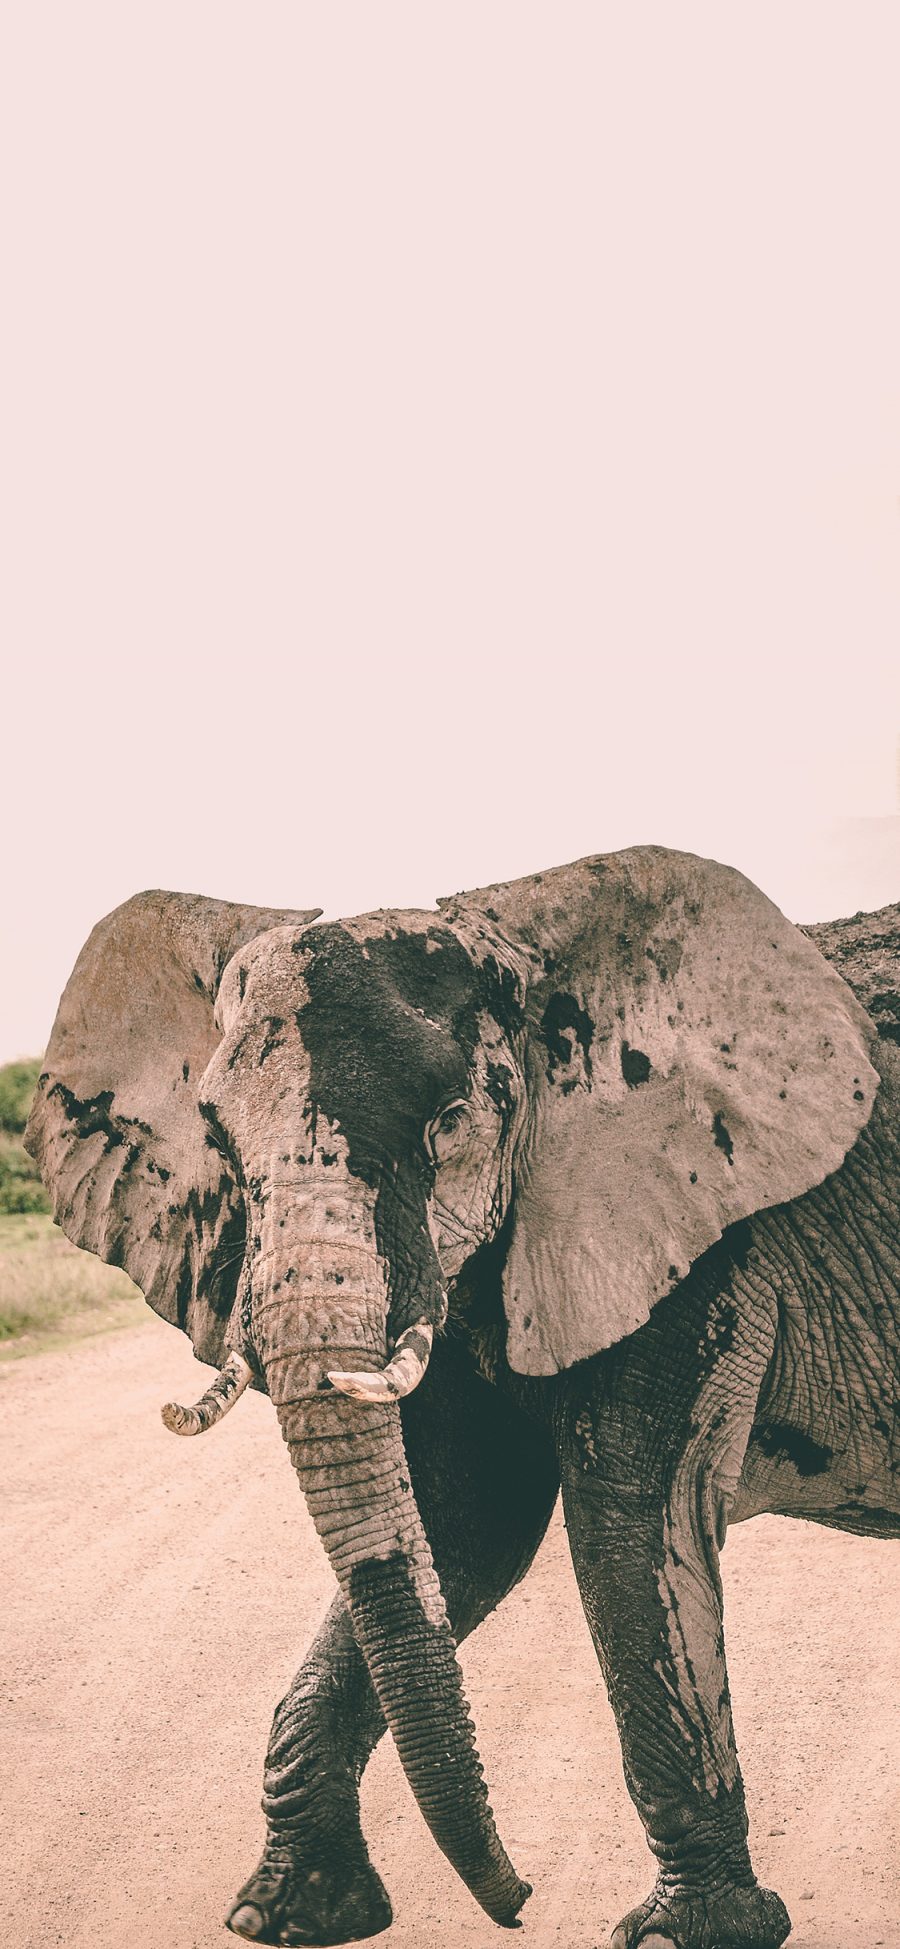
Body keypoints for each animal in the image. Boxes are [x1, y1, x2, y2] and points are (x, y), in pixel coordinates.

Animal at [26, 849, 900, 1949]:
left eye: (449, 1124)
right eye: (217, 1135)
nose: (521, 1901)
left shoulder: (693, 1225)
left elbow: (623, 1522)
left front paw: (689, 1933)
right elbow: (459, 1529)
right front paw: (285, 1915)